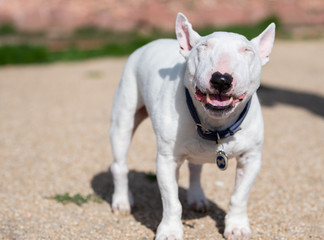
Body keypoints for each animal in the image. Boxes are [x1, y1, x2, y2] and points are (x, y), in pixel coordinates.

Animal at [109, 13, 276, 240]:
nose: (221, 78)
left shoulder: (250, 159)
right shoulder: (167, 160)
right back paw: (122, 201)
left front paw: (237, 226)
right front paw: (170, 231)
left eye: (247, 50)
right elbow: (172, 202)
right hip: (123, 119)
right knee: (120, 165)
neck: (215, 124)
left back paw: (197, 198)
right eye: (203, 46)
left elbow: (239, 196)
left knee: (195, 168)